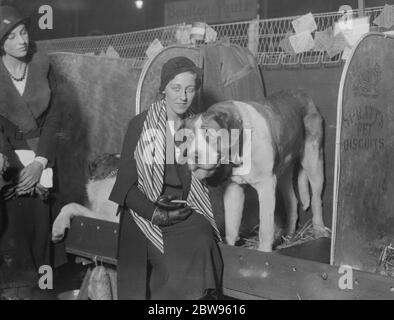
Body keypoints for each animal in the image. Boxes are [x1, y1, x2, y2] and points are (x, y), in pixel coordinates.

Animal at [182, 89, 330, 251]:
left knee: (316, 199)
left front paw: (264, 251)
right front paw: (230, 246)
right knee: (292, 200)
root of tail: (302, 94)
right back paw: (289, 235)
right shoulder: (234, 188)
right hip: (284, 171)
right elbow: (231, 226)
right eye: (189, 138)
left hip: (313, 162)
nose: (193, 155)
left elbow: (265, 228)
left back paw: (319, 230)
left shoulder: (266, 186)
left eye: (210, 135)